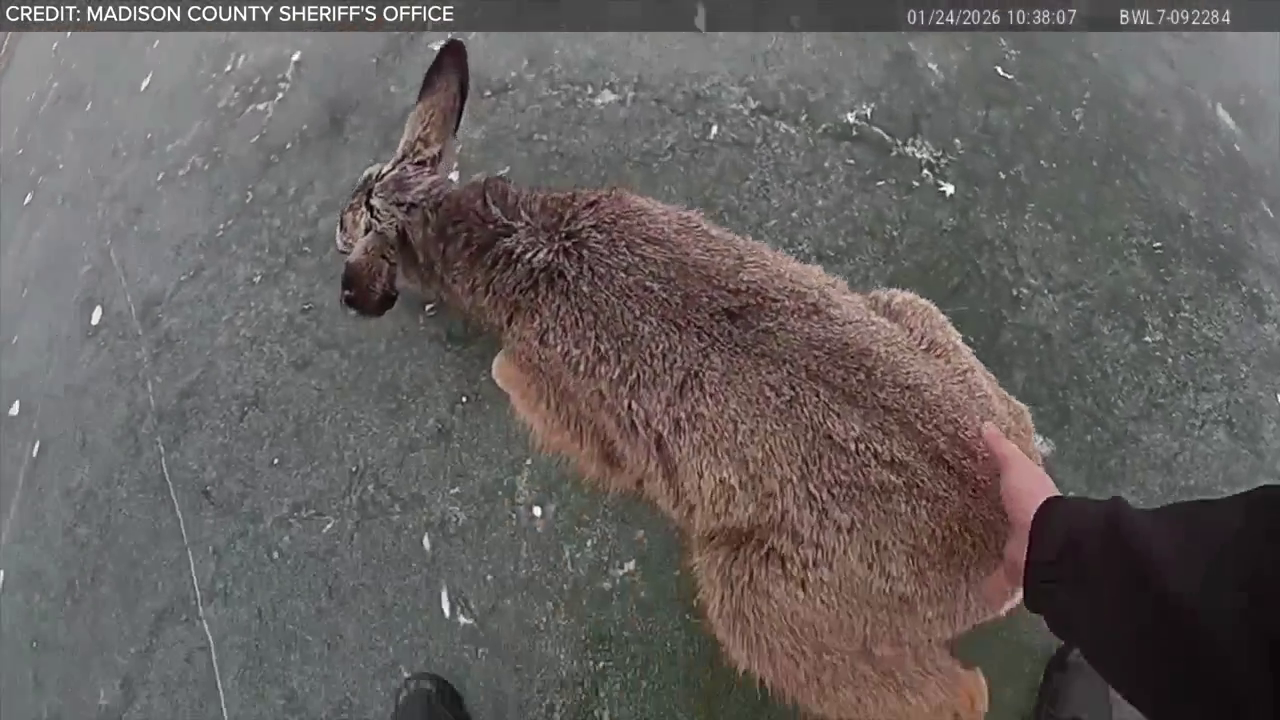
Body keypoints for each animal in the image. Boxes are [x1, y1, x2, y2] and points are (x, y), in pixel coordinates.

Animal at [336, 38, 1044, 720]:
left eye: (348, 223)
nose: (338, 225)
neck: (520, 247)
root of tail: (1003, 553)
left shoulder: (550, 390)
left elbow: (525, 391)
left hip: (745, 594)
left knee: (961, 695)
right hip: (912, 313)